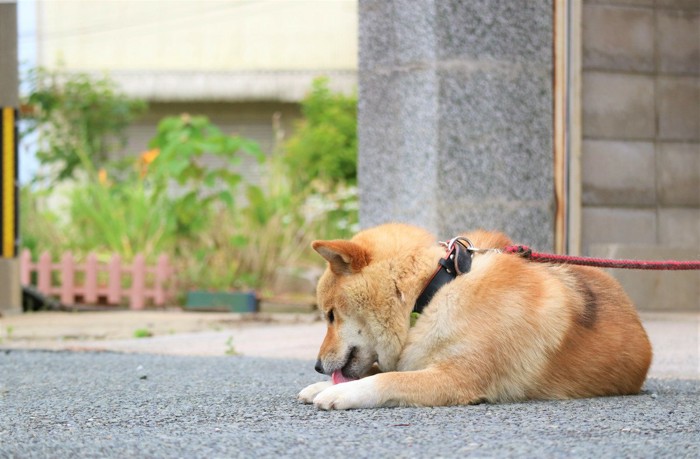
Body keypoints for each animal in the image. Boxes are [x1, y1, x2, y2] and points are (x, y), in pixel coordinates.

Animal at [298, 225, 652, 412]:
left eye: (331, 316)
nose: (316, 365)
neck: (431, 292)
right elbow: (378, 371)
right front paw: (320, 385)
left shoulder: (459, 378)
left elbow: (388, 379)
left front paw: (339, 393)